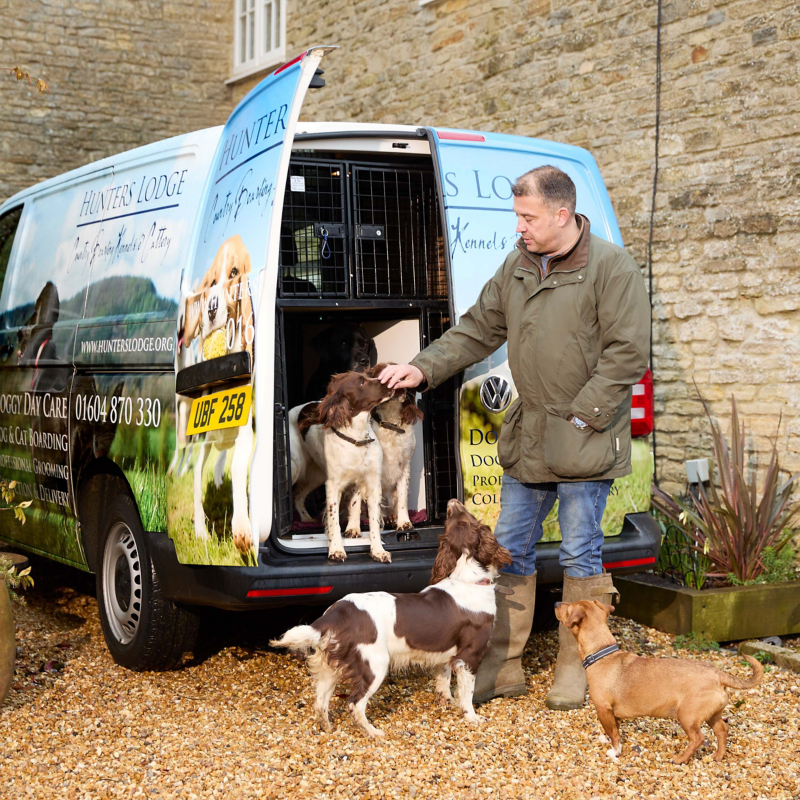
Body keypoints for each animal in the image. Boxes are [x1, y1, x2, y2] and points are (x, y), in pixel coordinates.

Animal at [556, 600, 764, 764]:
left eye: (568, 607)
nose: (557, 603)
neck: (601, 653)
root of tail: (717, 674)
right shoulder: (613, 714)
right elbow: (615, 730)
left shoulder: (603, 709)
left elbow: (614, 735)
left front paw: (614, 752)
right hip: (711, 714)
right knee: (722, 730)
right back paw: (718, 756)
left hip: (687, 716)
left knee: (697, 738)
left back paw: (680, 759)